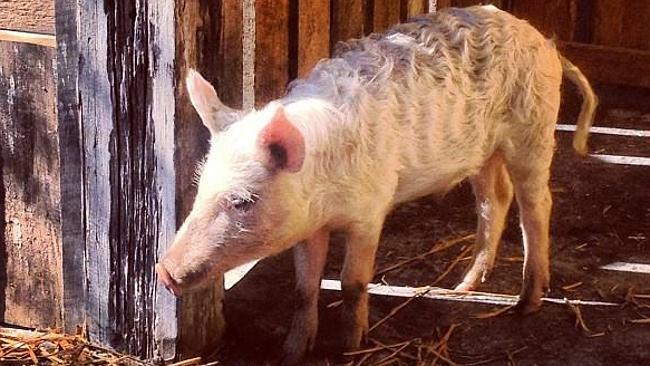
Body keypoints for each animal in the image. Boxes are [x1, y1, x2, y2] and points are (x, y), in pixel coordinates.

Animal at [154, 4, 596, 364]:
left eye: (244, 200)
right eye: (201, 186)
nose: (164, 270)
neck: (327, 188)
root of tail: (541, 39)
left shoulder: (370, 210)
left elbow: (352, 282)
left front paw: (349, 348)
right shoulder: (308, 226)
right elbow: (303, 288)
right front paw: (290, 353)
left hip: (533, 129)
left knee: (537, 204)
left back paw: (526, 304)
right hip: (484, 152)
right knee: (495, 200)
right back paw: (461, 289)